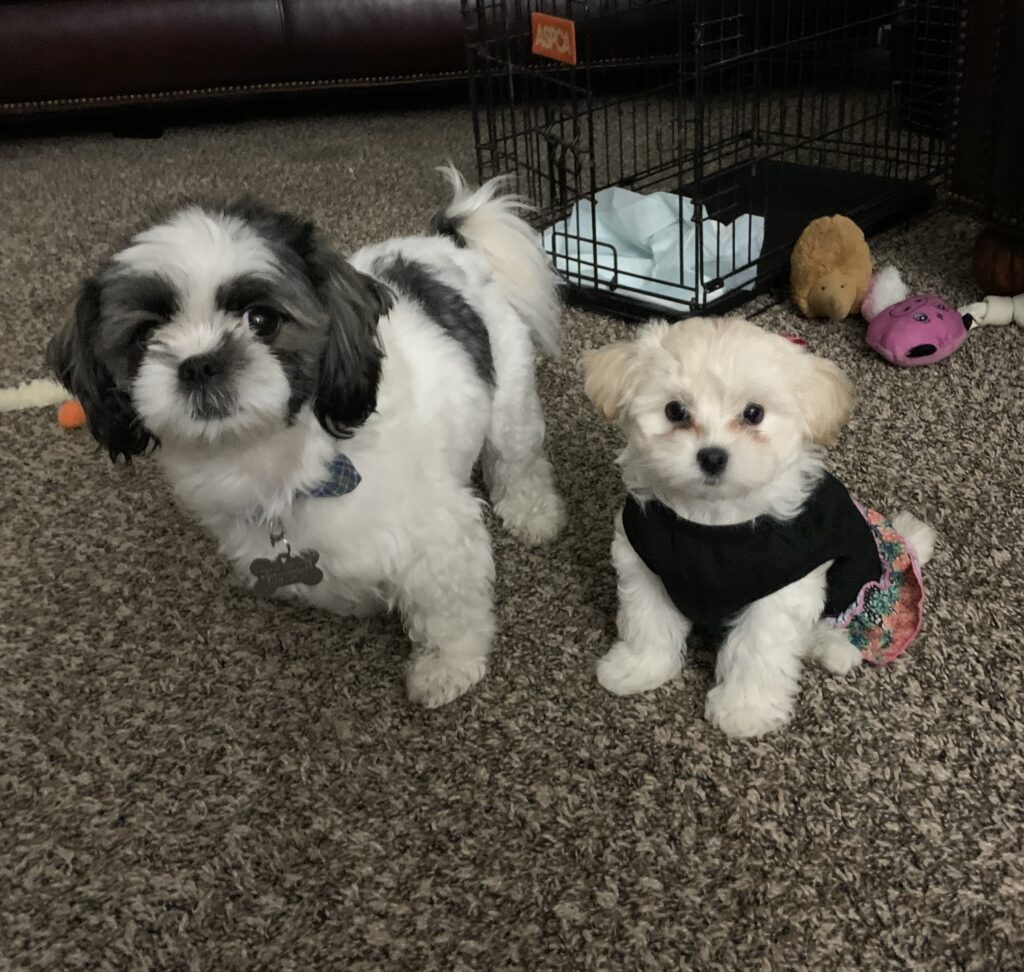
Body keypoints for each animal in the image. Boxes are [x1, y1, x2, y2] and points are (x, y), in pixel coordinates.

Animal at [49, 166, 569, 704]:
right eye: (145, 335)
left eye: (261, 319)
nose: (199, 363)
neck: (280, 461)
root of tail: (445, 241)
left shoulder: (439, 538)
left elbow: (449, 611)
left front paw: (448, 668)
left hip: (509, 398)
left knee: (517, 460)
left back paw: (533, 513)